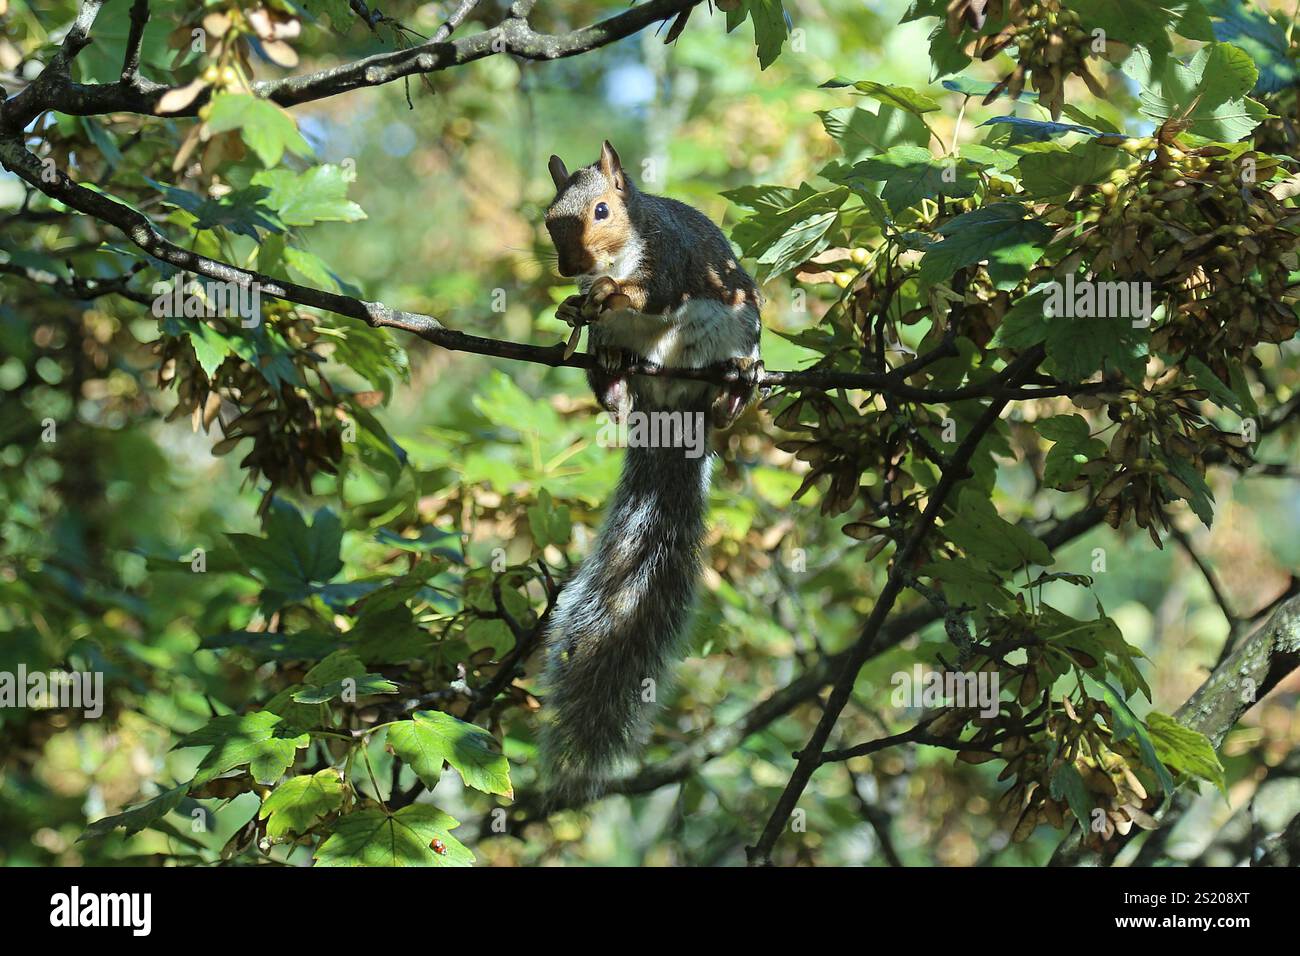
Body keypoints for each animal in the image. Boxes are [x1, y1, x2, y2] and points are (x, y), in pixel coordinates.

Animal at [538, 141, 763, 803]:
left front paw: (610, 287)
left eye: (603, 210)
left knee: (727, 375)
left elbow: (648, 294)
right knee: (614, 372)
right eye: (548, 219)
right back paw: (613, 374)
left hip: (739, 327)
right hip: (624, 362)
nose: (571, 267)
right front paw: (578, 301)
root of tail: (672, 403)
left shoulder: (668, 263)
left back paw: (734, 387)